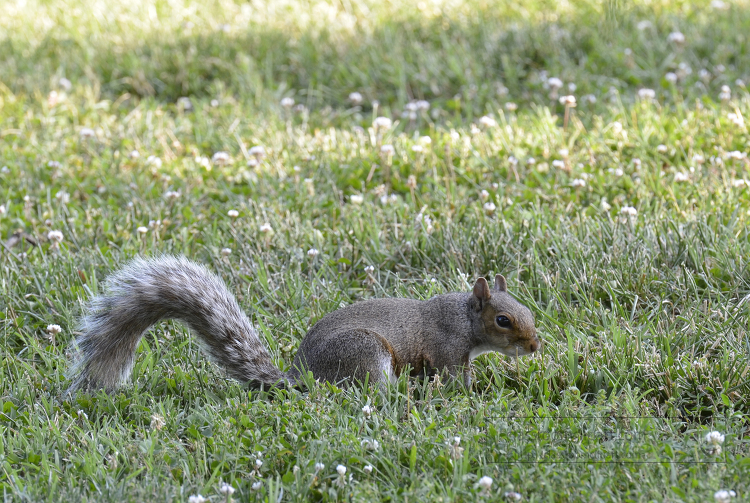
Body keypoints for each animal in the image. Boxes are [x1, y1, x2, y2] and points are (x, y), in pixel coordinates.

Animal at [64, 256, 540, 394]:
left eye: (529, 311)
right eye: (503, 320)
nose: (535, 346)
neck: (463, 318)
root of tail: (302, 375)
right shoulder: (446, 351)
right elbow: (456, 379)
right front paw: (478, 394)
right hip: (365, 353)